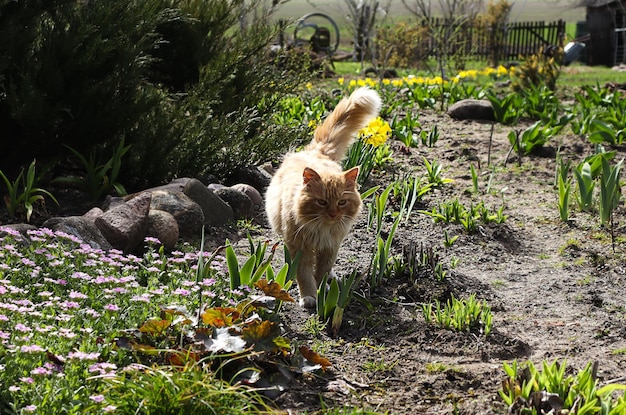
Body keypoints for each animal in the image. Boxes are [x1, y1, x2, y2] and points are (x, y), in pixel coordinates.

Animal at [264, 88, 380, 308]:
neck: (321, 228)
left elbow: (321, 271)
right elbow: (304, 275)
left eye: (342, 202)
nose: (333, 214)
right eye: (322, 202)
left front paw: (321, 292)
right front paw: (309, 296)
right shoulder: (300, 247)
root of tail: (316, 152)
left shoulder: (330, 247)